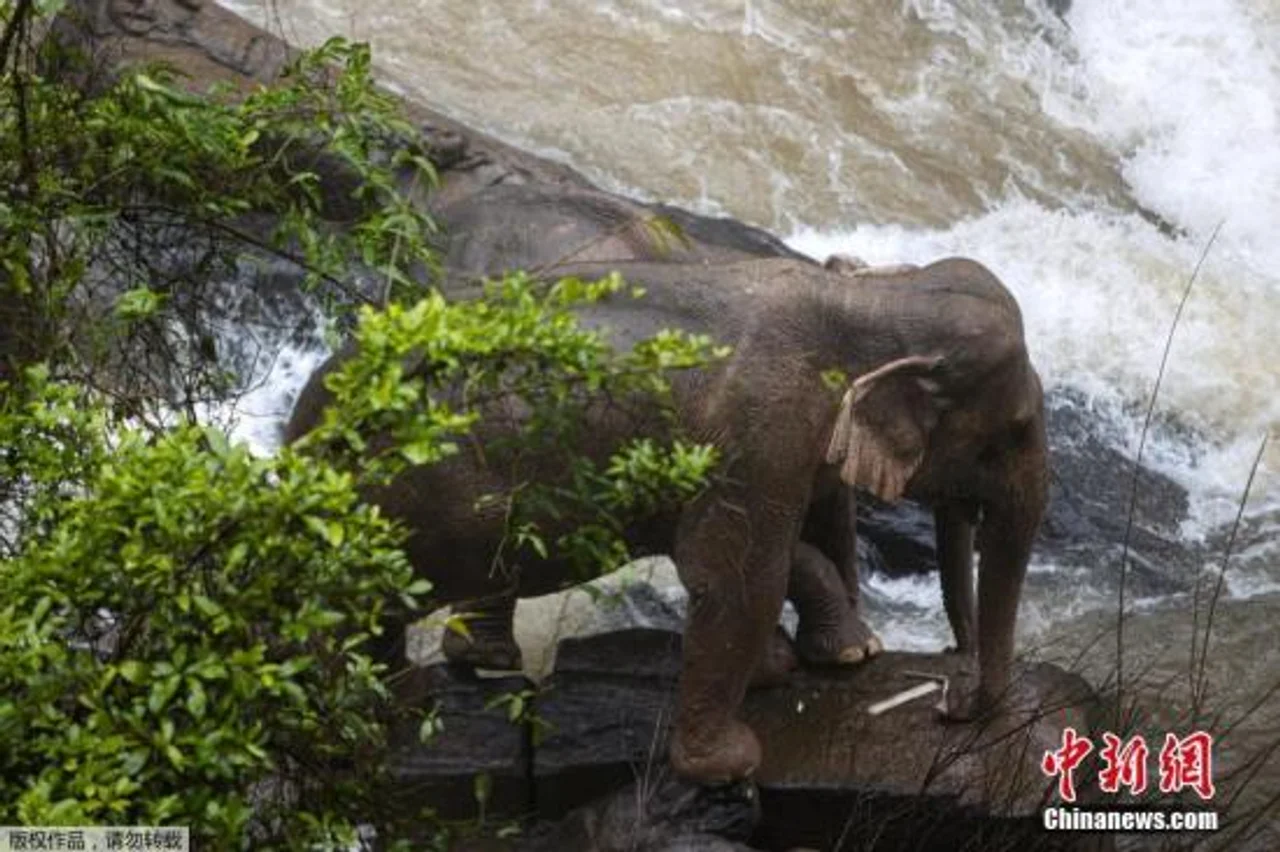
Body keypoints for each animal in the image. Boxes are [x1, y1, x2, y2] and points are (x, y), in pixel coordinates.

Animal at [284, 255, 1048, 784]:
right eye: (1012, 431)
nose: (949, 700)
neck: (870, 299)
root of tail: (306, 421)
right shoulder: (762, 430)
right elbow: (736, 576)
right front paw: (731, 764)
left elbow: (784, 548)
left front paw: (818, 660)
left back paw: (430, 687)